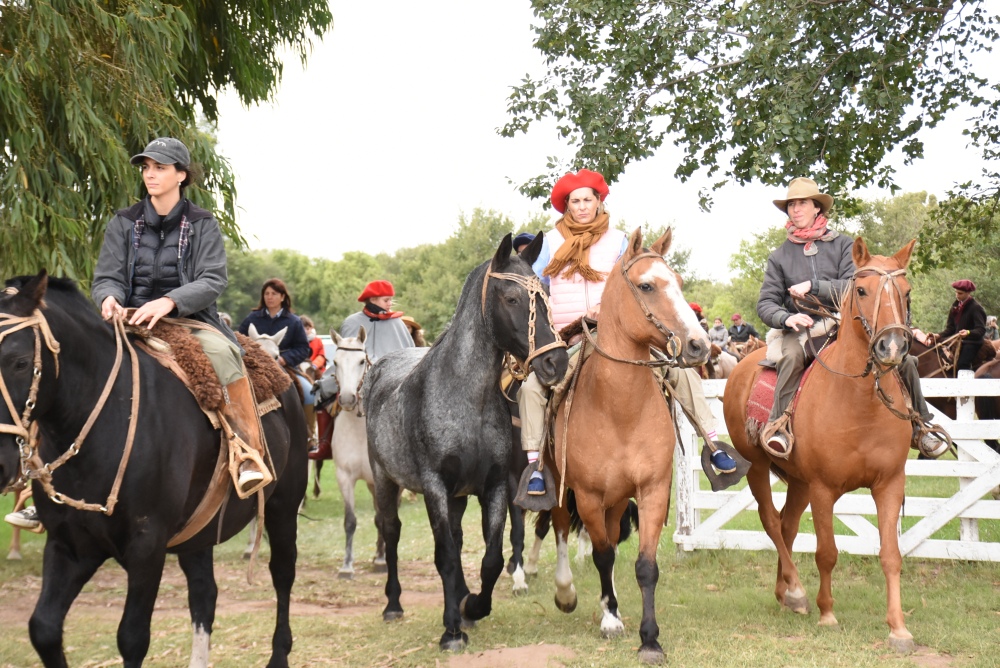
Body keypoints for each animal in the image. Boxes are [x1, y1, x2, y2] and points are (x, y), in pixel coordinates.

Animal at [0, 272, 306, 668]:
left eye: (20, 362)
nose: (1, 463)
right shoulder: (69, 545)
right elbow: (44, 628)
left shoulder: (147, 547)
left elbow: (132, 638)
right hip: (199, 531)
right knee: (205, 594)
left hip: (284, 507)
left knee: (282, 573)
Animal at [366, 232, 572, 648]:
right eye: (511, 298)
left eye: (545, 293)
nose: (555, 363)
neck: (465, 396)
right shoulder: (435, 486)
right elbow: (444, 554)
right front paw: (451, 630)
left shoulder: (493, 485)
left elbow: (491, 558)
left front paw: (472, 606)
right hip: (384, 479)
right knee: (391, 532)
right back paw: (393, 605)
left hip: (458, 496)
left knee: (459, 539)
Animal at [548, 228, 712, 664]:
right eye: (646, 286)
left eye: (679, 283)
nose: (699, 345)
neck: (619, 407)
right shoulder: (587, 495)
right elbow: (602, 554)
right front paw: (610, 620)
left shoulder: (652, 489)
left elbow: (644, 565)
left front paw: (649, 639)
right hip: (558, 486)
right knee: (558, 529)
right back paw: (567, 592)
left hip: (618, 498)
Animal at [720, 239, 920, 652]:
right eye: (862, 290)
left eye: (906, 292)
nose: (892, 347)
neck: (859, 401)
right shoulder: (824, 489)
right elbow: (827, 552)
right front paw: (827, 613)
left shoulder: (890, 484)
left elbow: (891, 555)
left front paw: (898, 628)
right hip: (759, 468)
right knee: (771, 522)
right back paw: (796, 591)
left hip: (798, 481)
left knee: (787, 525)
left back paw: (785, 591)